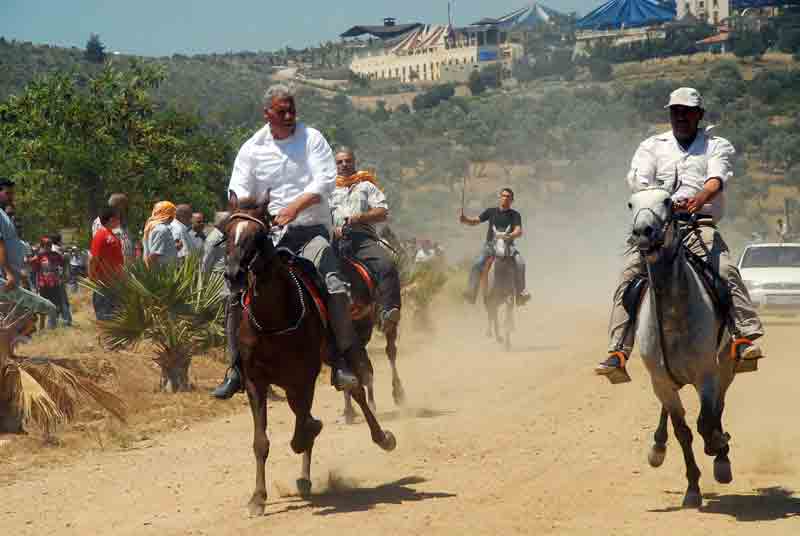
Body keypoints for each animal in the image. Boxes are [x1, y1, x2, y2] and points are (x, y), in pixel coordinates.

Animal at [223, 197, 396, 516]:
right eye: (227, 231)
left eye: (259, 234)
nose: (233, 274)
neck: (274, 318)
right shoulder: (256, 382)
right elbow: (262, 441)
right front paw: (258, 498)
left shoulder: (304, 377)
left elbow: (303, 428)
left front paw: (311, 431)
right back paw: (304, 478)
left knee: (356, 388)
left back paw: (381, 436)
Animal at [628, 186, 736, 508]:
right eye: (631, 204)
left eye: (667, 200)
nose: (643, 232)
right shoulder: (660, 380)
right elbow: (683, 431)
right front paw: (692, 490)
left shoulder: (707, 375)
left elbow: (706, 422)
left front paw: (718, 447)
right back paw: (657, 447)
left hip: (726, 367)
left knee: (718, 409)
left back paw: (721, 457)